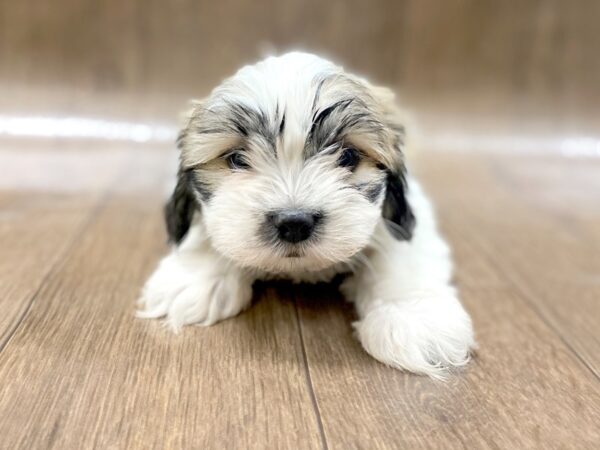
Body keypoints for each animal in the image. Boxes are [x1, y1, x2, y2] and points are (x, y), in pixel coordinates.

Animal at [138, 51, 476, 376]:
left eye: (348, 156)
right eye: (236, 159)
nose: (294, 223)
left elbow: (401, 248)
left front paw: (412, 314)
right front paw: (194, 276)